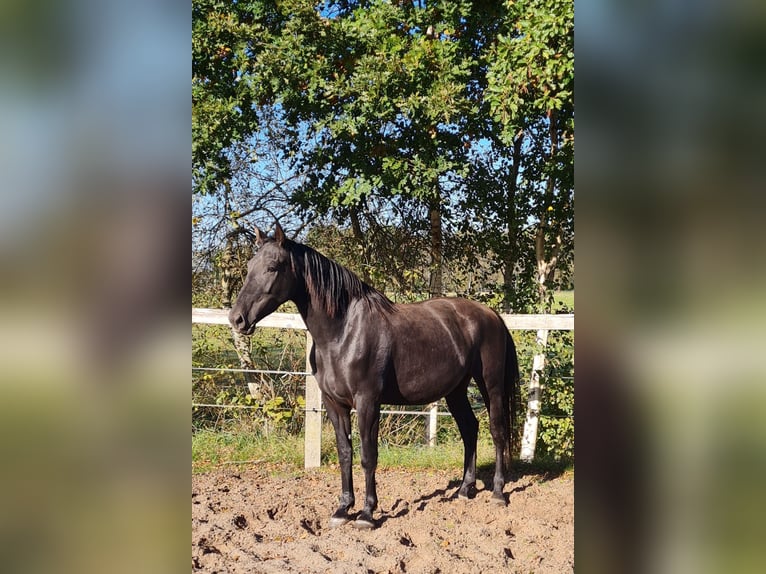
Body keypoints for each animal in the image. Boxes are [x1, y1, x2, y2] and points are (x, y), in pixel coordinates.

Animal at [230, 225, 520, 532]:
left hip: (491, 385)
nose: (237, 319)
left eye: (273, 267)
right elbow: (345, 453)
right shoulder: (334, 403)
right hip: (455, 390)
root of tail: (491, 314)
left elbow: (369, 456)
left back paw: (498, 493)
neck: (343, 332)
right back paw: (465, 489)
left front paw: (367, 514)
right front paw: (343, 509)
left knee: (497, 431)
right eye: (249, 266)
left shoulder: (368, 402)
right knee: (469, 429)